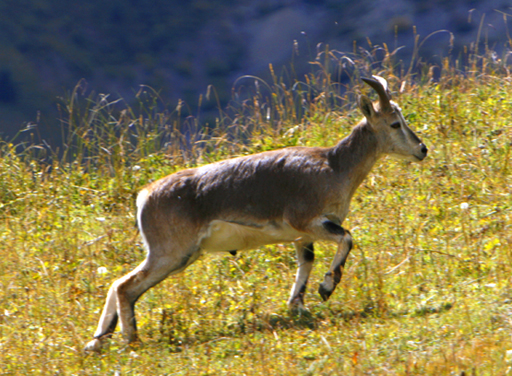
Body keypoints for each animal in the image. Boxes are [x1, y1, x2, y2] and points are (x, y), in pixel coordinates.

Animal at [85, 76, 428, 352]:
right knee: (125, 287)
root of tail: (144, 197)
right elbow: (347, 239)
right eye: (395, 123)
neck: (333, 165)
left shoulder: (302, 236)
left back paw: (98, 341)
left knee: (118, 283)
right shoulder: (309, 221)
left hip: (174, 254)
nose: (422, 149)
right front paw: (326, 288)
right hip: (171, 252)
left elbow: (306, 263)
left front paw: (298, 307)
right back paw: (130, 340)